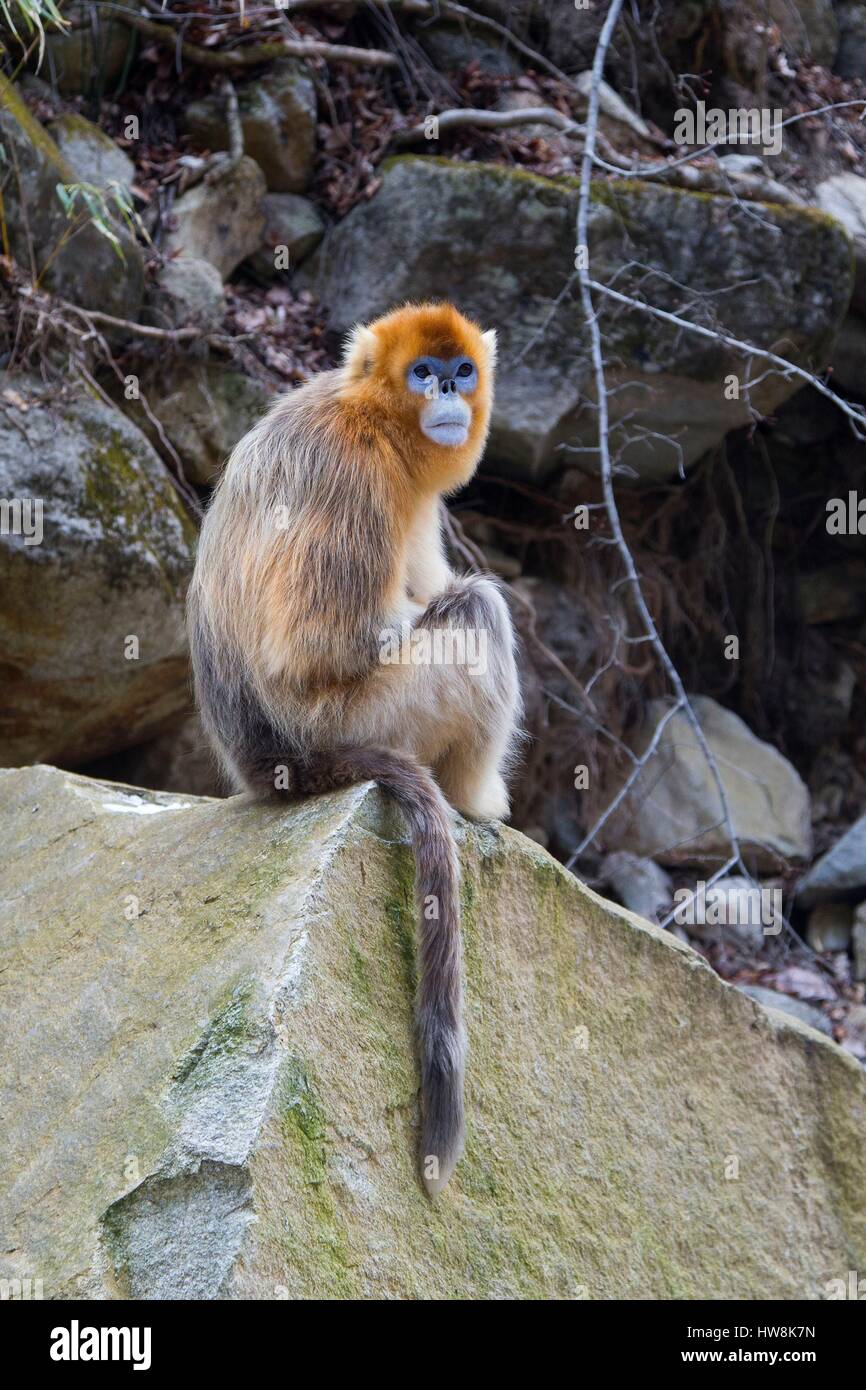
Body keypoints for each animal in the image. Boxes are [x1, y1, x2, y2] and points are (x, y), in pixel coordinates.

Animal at [187, 302, 521, 1195]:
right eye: (422, 373)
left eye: (461, 371)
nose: (447, 392)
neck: (366, 413)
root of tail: (276, 768)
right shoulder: (356, 470)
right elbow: (318, 646)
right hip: (362, 720)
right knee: (479, 611)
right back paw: (475, 799)